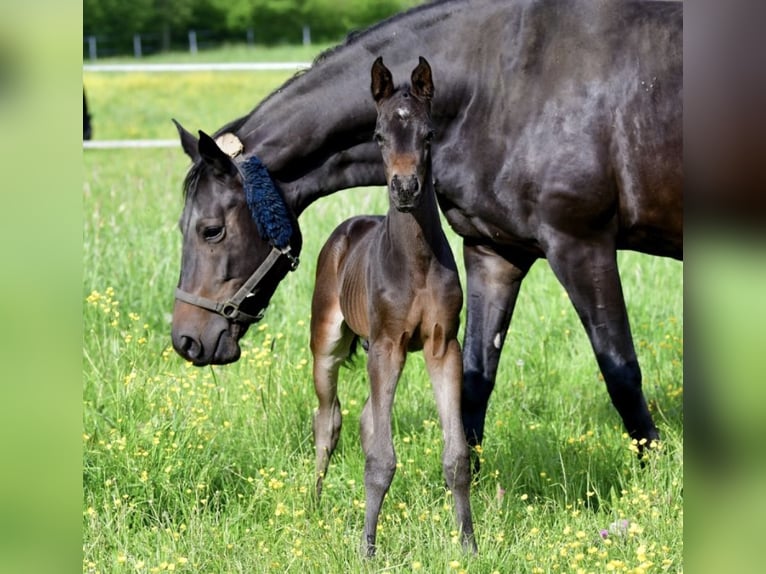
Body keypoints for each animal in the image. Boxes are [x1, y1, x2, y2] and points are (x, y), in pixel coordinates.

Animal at [310, 58, 476, 560]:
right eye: (379, 135)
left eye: (428, 134)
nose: (405, 188)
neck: (415, 262)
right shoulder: (388, 345)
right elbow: (380, 457)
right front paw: (367, 548)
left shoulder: (443, 346)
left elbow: (456, 455)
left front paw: (469, 544)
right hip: (327, 342)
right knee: (328, 419)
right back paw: (313, 506)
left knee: (364, 417)